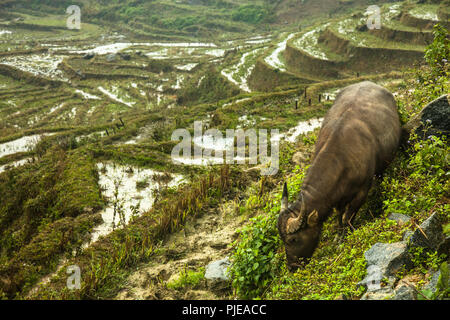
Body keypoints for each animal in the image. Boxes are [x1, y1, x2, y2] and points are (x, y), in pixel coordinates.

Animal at [278, 81, 400, 272]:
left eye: (293, 239)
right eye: (282, 239)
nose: (292, 266)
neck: (342, 157)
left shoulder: (362, 190)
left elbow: (349, 215)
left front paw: (346, 234)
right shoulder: (335, 198)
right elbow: (339, 215)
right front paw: (338, 234)